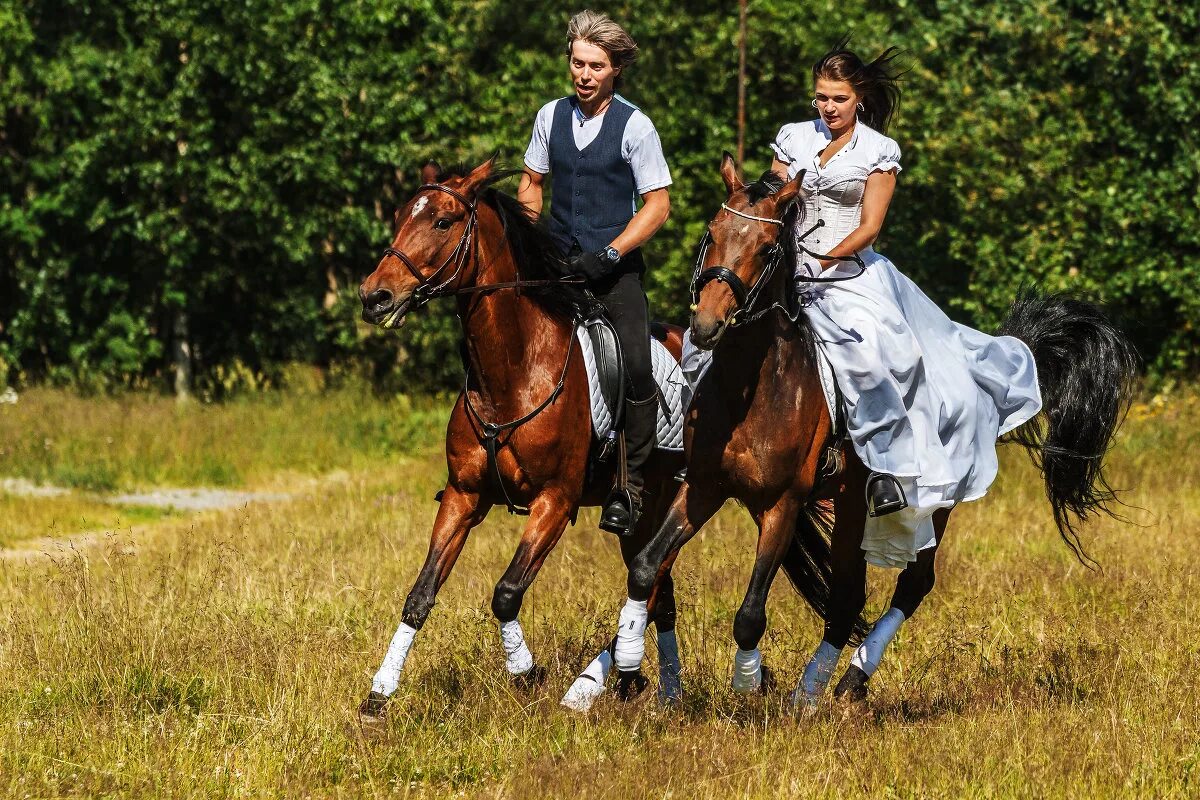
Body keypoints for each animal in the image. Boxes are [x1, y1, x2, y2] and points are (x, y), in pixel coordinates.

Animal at [355, 158, 686, 719]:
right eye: (400, 216)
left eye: (443, 221)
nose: (374, 296)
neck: (511, 373)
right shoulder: (464, 496)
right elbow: (420, 594)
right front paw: (380, 692)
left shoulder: (555, 501)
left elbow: (506, 592)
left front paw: (528, 673)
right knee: (659, 593)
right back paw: (647, 686)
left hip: (662, 499)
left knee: (653, 576)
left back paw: (602, 684)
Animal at [604, 154, 1137, 705]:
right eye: (712, 232)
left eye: (769, 248)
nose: (707, 325)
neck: (751, 387)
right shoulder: (704, 487)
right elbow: (646, 568)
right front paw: (628, 666)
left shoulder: (783, 503)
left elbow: (750, 614)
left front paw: (749, 687)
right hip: (850, 503)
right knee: (846, 595)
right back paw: (813, 692)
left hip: (934, 503)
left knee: (913, 584)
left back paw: (849, 682)